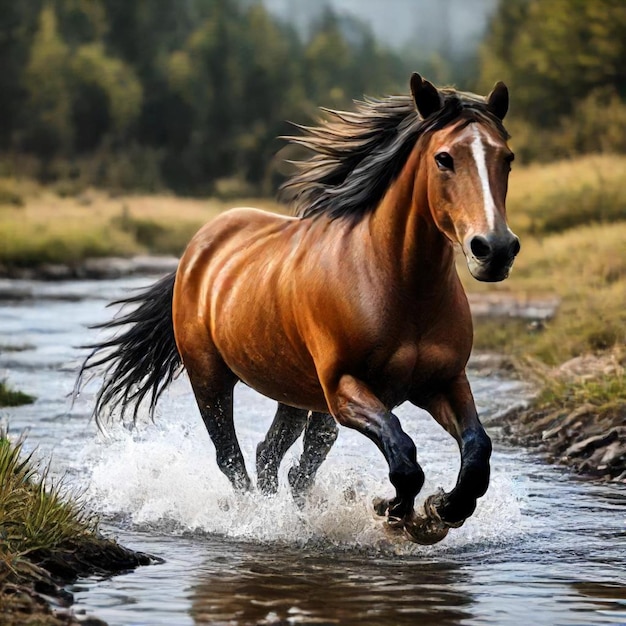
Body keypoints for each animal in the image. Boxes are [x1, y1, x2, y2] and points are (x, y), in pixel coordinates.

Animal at [78, 72, 516, 540]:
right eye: (444, 158)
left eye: (506, 159)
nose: (495, 250)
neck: (396, 284)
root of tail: (198, 248)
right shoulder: (345, 388)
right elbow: (403, 455)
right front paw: (397, 512)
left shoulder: (444, 382)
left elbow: (477, 452)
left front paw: (441, 510)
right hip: (211, 380)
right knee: (232, 458)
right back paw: (256, 518)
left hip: (296, 393)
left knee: (275, 456)